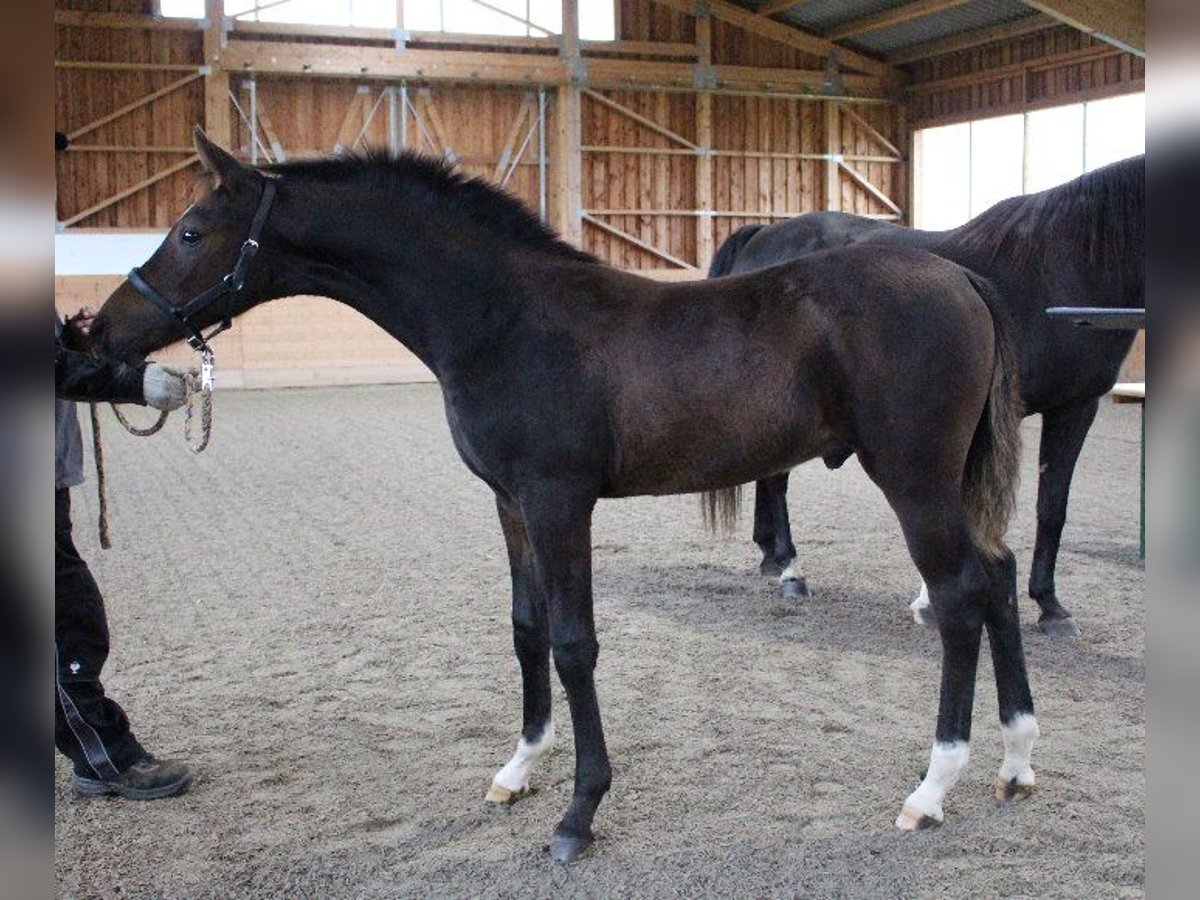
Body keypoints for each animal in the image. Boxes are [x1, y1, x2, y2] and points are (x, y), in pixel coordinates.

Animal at [91, 130, 1041, 864]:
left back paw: (934, 785)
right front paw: (518, 770)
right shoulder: (511, 503)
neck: (503, 317)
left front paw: (579, 813)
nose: (99, 333)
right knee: (998, 577)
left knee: (960, 596)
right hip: (950, 483)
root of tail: (961, 279)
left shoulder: (559, 501)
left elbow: (575, 643)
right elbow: (526, 630)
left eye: (191, 229)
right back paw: (1017, 760)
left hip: (913, 478)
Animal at [705, 154, 1147, 638]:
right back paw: (790, 570)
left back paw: (770, 555)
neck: (1062, 268)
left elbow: (1050, 508)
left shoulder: (1074, 405)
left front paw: (1048, 605)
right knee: (778, 482)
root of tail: (762, 235)